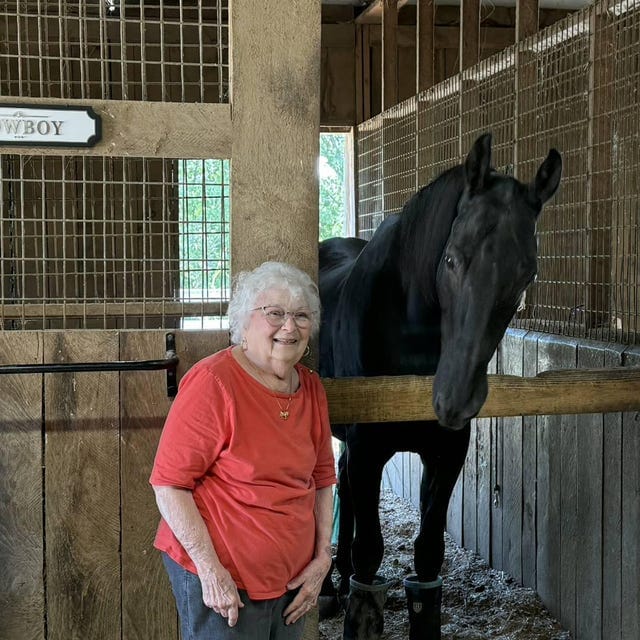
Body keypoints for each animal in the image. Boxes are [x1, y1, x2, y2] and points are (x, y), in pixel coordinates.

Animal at [318, 133, 562, 640]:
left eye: (527, 274)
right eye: (450, 258)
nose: (452, 400)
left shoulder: (446, 454)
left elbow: (428, 557)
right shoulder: (369, 449)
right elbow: (370, 551)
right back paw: (331, 589)